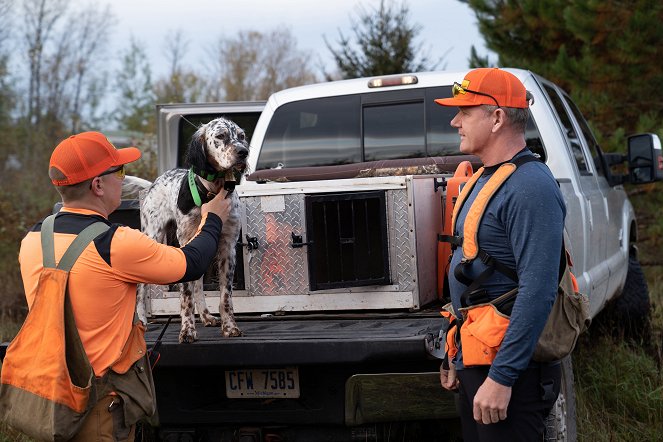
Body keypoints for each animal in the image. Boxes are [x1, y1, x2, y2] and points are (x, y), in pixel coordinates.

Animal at [137, 116, 249, 342]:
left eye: (241, 136)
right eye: (221, 136)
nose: (243, 152)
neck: (211, 192)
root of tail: (158, 179)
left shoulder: (228, 248)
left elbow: (225, 296)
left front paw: (229, 326)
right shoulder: (186, 243)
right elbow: (185, 296)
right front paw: (187, 330)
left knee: (198, 284)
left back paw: (206, 316)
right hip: (153, 236)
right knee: (141, 288)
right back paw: (142, 320)